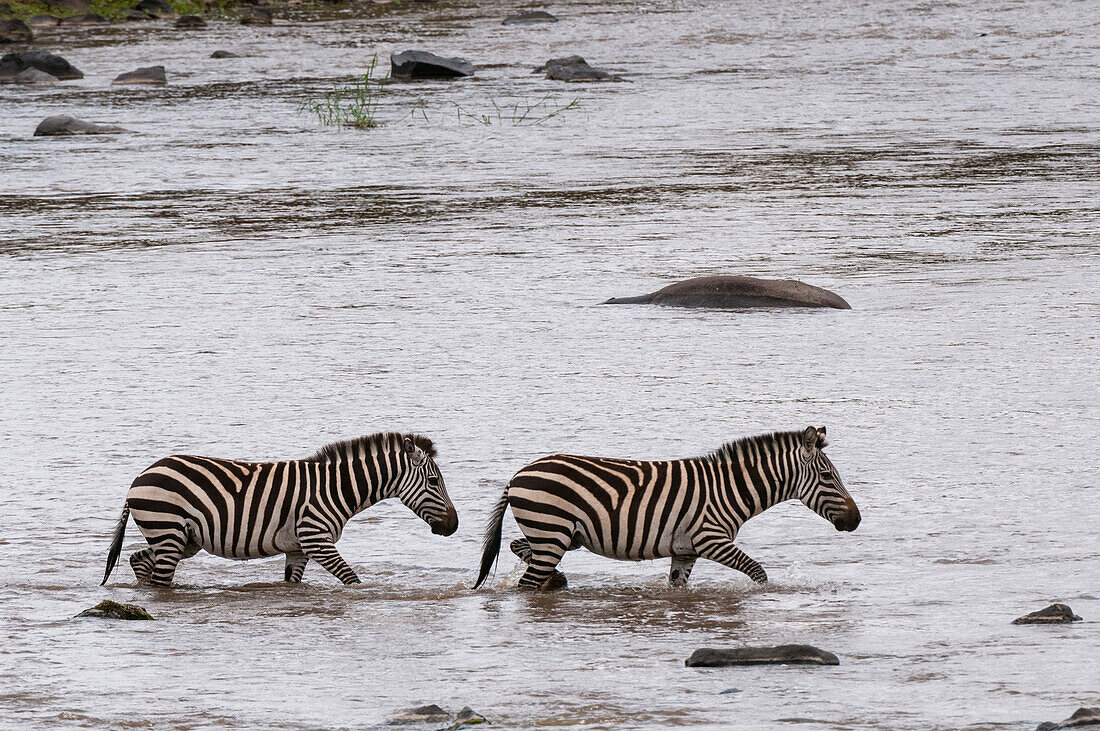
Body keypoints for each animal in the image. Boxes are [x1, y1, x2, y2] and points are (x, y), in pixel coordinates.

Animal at [97, 430, 451, 584]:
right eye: (434, 482)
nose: (453, 526)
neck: (335, 489)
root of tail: (139, 477)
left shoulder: (298, 548)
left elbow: (292, 584)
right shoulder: (317, 540)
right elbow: (352, 579)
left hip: (183, 539)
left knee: (139, 560)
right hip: (168, 531)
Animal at [473, 424, 858, 589]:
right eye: (827, 476)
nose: (855, 521)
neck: (731, 489)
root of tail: (516, 476)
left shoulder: (685, 551)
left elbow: (677, 588)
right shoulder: (711, 539)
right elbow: (759, 572)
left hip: (558, 535)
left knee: (520, 547)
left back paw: (557, 579)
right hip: (552, 531)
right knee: (526, 585)